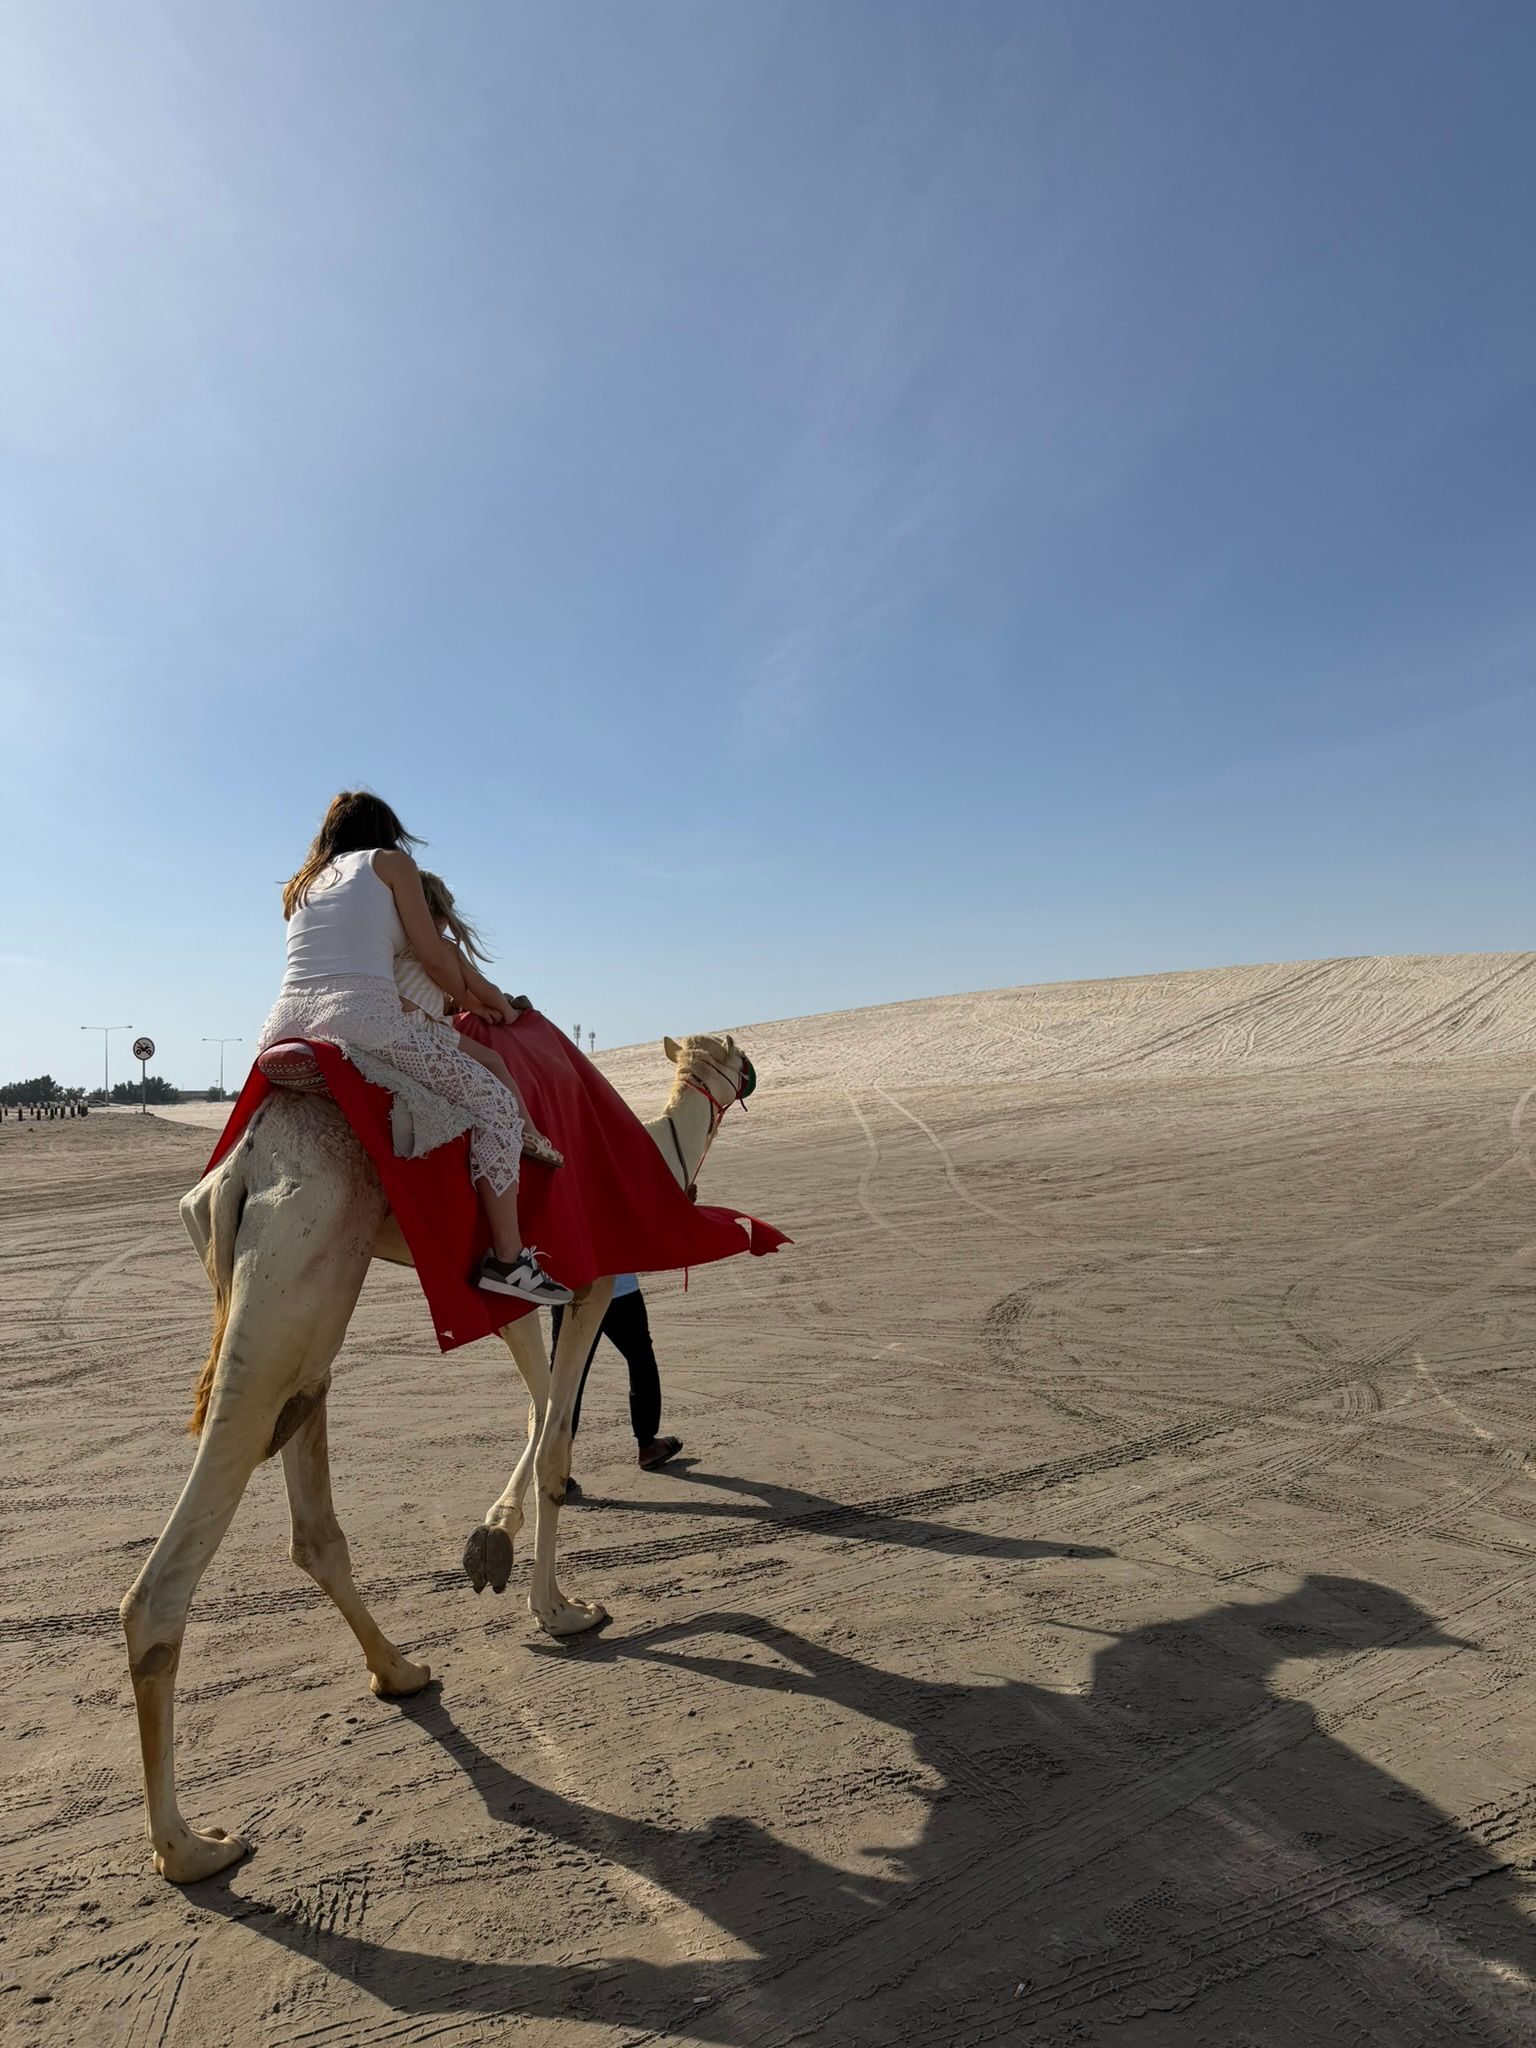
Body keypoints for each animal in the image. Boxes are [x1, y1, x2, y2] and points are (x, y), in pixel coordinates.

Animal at [119, 1031, 756, 1884]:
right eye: (730, 1049)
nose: (750, 1071)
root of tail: (241, 1171)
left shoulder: (518, 1293)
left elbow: (539, 1408)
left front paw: (493, 1541)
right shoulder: (586, 1280)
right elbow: (555, 1435)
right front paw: (562, 1611)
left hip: (305, 1310)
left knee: (312, 1516)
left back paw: (400, 1672)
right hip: (293, 1278)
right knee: (163, 1588)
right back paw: (190, 1848)